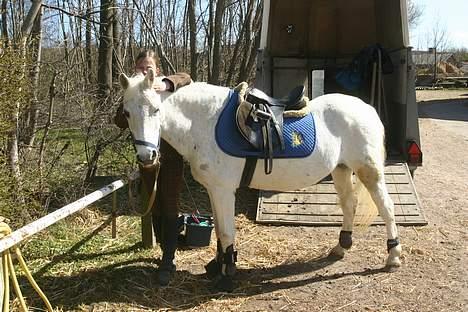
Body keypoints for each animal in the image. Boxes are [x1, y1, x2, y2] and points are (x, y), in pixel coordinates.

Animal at [119, 69, 400, 292]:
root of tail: (367, 108)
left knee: (386, 207)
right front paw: (218, 266)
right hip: (341, 169)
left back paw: (393, 256)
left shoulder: (223, 190)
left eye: (156, 109)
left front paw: (227, 277)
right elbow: (220, 230)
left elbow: (226, 231)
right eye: (126, 113)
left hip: (368, 170)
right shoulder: (214, 190)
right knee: (349, 204)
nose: (146, 156)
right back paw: (341, 248)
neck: (204, 122)